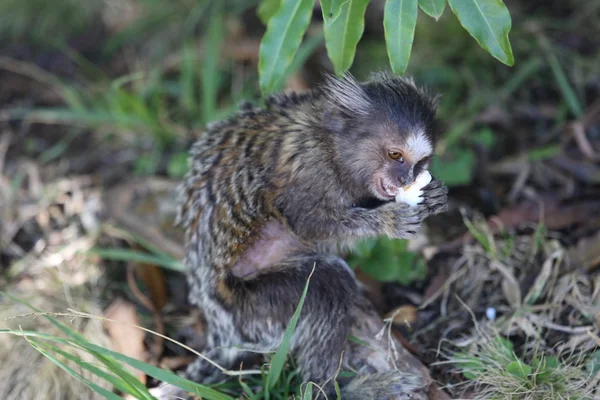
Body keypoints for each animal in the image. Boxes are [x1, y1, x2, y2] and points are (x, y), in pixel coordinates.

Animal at [173, 71, 446, 396]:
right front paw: (389, 220)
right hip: (254, 308)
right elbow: (309, 224)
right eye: (395, 155)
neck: (331, 147)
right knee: (329, 283)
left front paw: (433, 197)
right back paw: (337, 390)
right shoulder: (309, 171)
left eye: (420, 163)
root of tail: (219, 326)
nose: (405, 179)